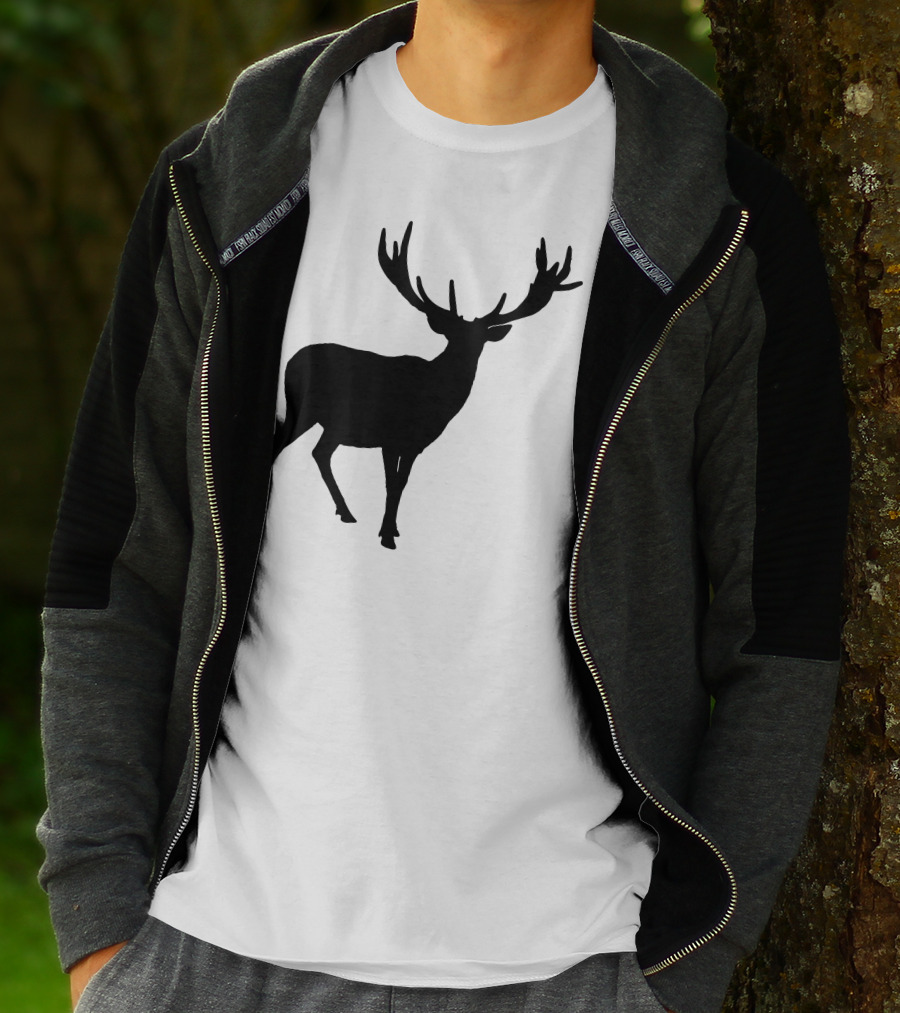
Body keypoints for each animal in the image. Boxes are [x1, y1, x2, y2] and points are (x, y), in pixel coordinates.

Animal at [274, 220, 582, 549]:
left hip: (331, 424)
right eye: (451, 336)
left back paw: (345, 511)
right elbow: (392, 482)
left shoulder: (414, 443)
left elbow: (402, 482)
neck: (432, 401)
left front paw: (392, 529)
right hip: (306, 412)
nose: (464, 360)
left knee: (319, 453)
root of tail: (291, 362)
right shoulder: (392, 436)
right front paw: (387, 535)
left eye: (479, 342)